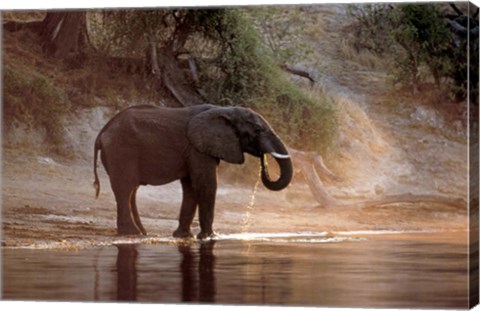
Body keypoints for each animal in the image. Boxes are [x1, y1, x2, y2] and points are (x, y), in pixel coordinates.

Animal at [92, 103, 290, 240]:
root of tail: (102, 132)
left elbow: (191, 187)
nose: (263, 159)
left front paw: (184, 236)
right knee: (125, 189)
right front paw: (210, 237)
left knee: (130, 190)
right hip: (121, 150)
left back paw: (141, 233)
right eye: (257, 130)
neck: (225, 110)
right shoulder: (198, 149)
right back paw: (131, 234)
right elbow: (206, 184)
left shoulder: (194, 150)